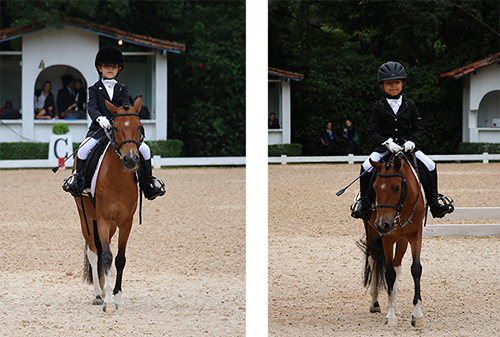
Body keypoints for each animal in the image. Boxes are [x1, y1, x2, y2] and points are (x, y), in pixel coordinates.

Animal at [75, 96, 144, 312]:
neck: (118, 179)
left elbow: (120, 258)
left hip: (112, 225)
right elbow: (105, 255)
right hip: (86, 218)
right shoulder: (103, 220)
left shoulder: (126, 222)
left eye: (139, 126)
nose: (130, 160)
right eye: (114, 127)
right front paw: (109, 303)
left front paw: (117, 295)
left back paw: (105, 290)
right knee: (93, 252)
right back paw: (99, 294)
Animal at [360, 151, 426, 326]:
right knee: (373, 260)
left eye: (396, 188)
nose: (382, 224)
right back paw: (375, 303)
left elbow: (415, 269)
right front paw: (390, 316)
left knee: (397, 266)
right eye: (375, 188)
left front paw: (417, 316)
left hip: (402, 239)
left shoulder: (415, 235)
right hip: (371, 232)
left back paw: (395, 307)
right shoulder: (387, 238)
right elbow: (389, 273)